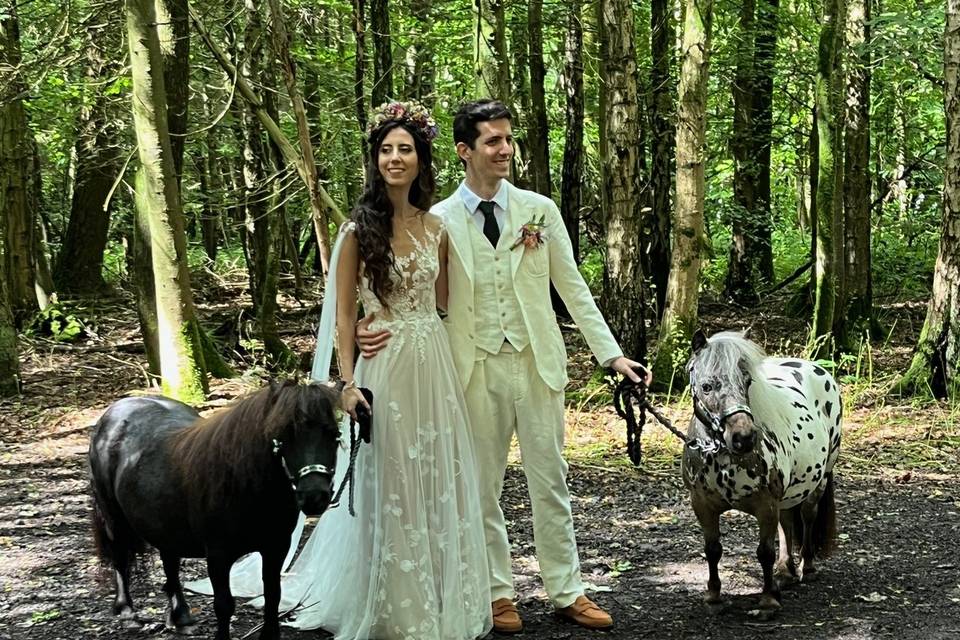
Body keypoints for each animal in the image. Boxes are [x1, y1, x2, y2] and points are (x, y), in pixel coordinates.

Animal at [87, 380, 342, 640]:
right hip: (114, 518)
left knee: (170, 563)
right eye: (283, 436)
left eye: (334, 434)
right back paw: (126, 611)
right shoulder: (219, 555)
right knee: (120, 557)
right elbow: (224, 605)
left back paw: (181, 617)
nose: (314, 496)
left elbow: (273, 595)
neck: (243, 484)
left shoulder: (276, 547)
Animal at [684, 332, 840, 612]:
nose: (744, 437)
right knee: (787, 521)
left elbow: (764, 552)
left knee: (807, 516)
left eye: (747, 382)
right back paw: (785, 571)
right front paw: (713, 596)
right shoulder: (702, 505)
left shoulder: (765, 505)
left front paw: (768, 600)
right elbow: (713, 549)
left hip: (819, 481)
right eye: (706, 386)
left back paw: (807, 567)